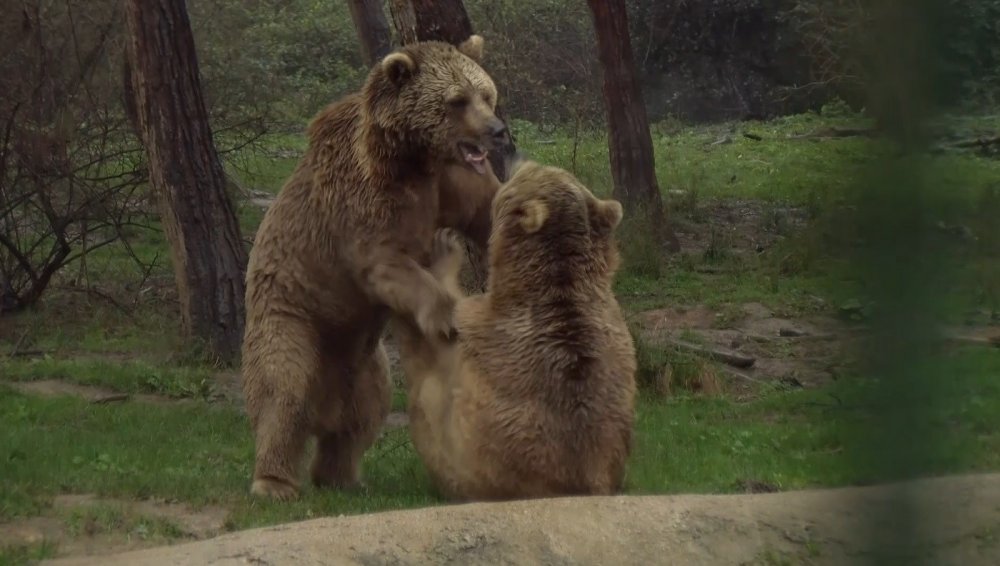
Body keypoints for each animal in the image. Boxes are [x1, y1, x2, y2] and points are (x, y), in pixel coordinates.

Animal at [240, 35, 508, 502]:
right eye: (457, 100)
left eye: (486, 94)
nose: (496, 130)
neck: (415, 159)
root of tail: (323, 405)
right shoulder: (363, 203)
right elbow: (385, 264)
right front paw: (446, 316)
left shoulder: (453, 183)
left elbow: (487, 210)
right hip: (292, 319)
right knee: (283, 390)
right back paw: (274, 483)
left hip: (364, 364)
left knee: (362, 415)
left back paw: (343, 477)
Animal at [392, 159, 636, 502]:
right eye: (542, 166)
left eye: (529, 170)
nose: (518, 159)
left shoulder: (486, 332)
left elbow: (451, 327)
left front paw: (445, 247)